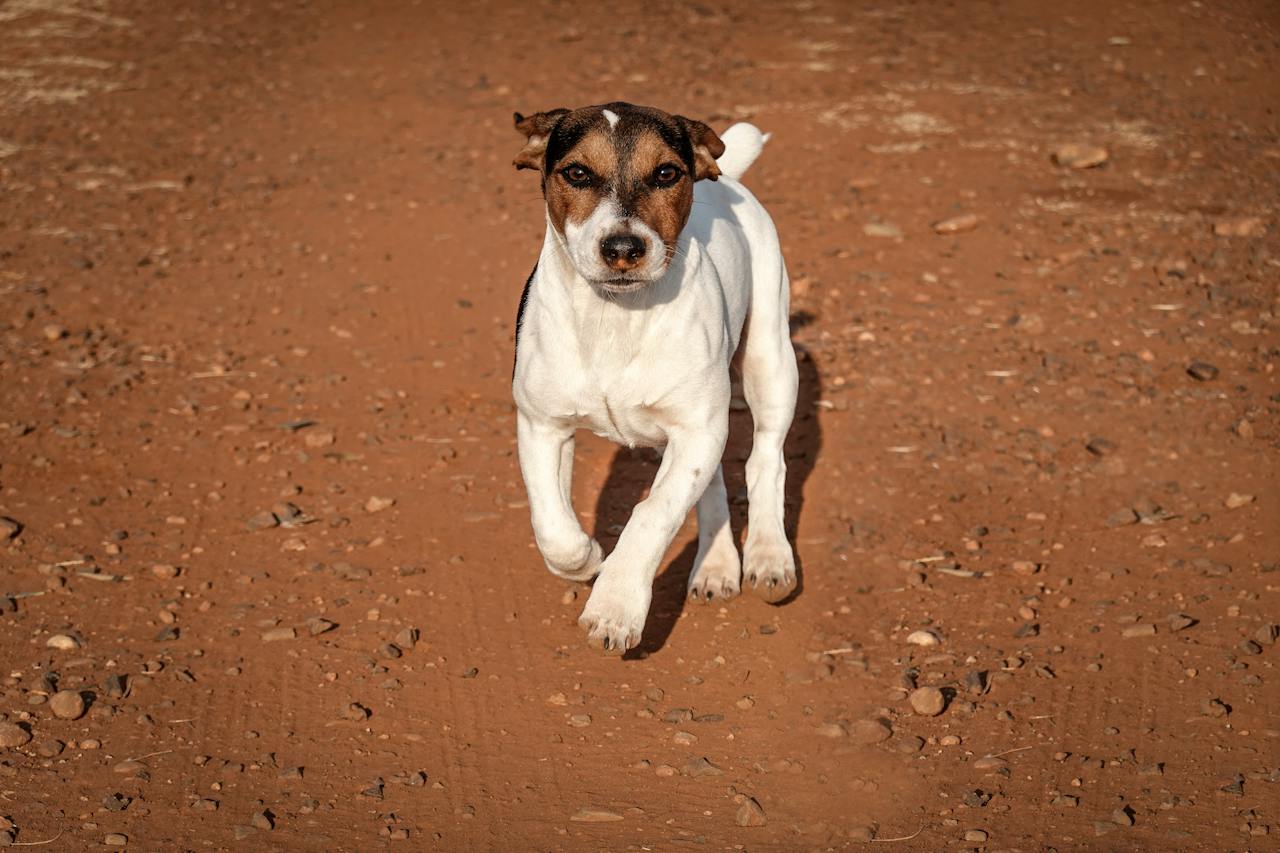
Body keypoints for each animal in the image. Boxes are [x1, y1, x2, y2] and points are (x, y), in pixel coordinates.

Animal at [512, 103, 793, 653]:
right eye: (577, 173)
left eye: (666, 173)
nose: (623, 247)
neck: (614, 317)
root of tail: (726, 180)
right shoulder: (541, 424)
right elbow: (553, 528)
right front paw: (589, 560)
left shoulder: (697, 430)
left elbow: (652, 514)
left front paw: (615, 607)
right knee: (713, 483)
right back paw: (716, 565)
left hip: (769, 361)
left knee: (765, 461)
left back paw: (769, 556)